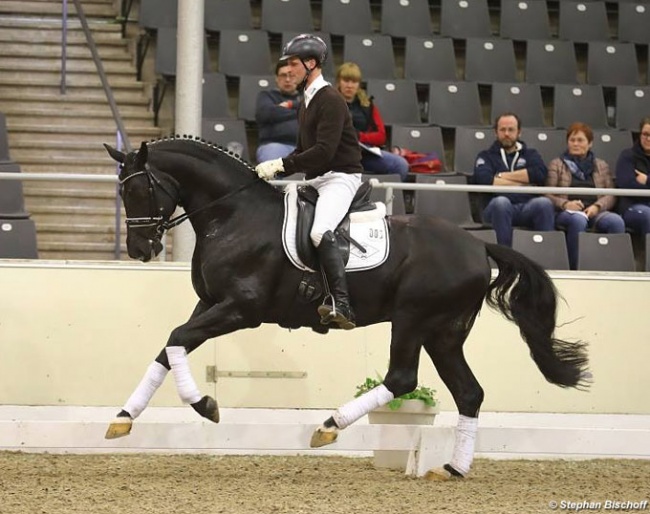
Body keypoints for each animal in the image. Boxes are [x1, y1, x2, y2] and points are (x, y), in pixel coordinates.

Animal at [102, 137, 588, 480]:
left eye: (140, 189)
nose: (140, 249)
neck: (233, 215)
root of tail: (478, 244)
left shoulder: (240, 309)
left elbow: (176, 340)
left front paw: (204, 405)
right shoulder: (209, 303)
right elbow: (169, 348)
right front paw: (123, 418)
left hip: (414, 320)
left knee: (402, 378)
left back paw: (330, 426)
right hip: (445, 332)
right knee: (468, 392)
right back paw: (452, 469)